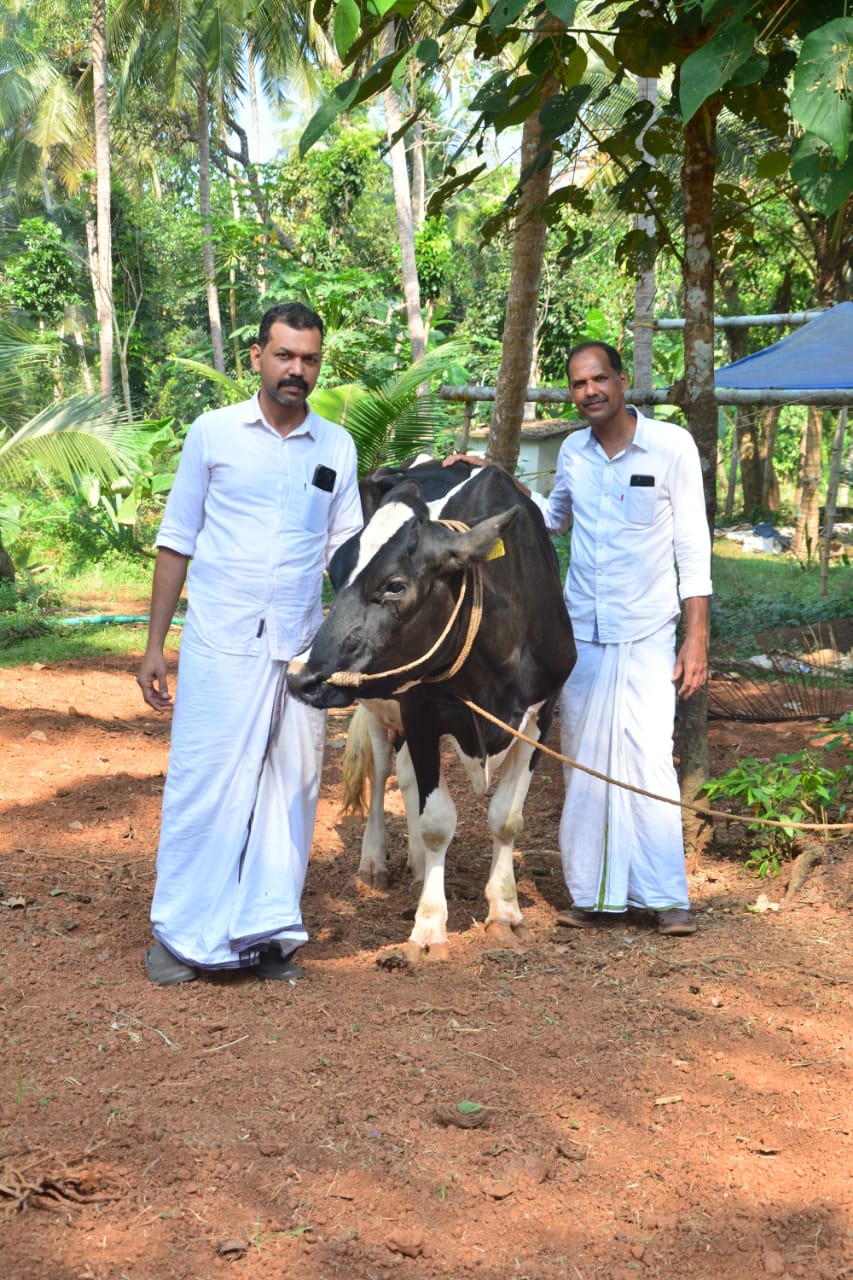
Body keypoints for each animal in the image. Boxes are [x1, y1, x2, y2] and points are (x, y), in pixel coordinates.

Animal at [284, 460, 571, 962]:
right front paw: (430, 925)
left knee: (409, 779)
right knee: (385, 773)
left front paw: (505, 910)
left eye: (395, 585)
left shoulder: (542, 713)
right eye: (334, 574)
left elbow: (507, 818)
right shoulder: (419, 710)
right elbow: (437, 821)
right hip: (381, 710)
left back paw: (418, 863)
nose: (302, 676)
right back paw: (376, 861)